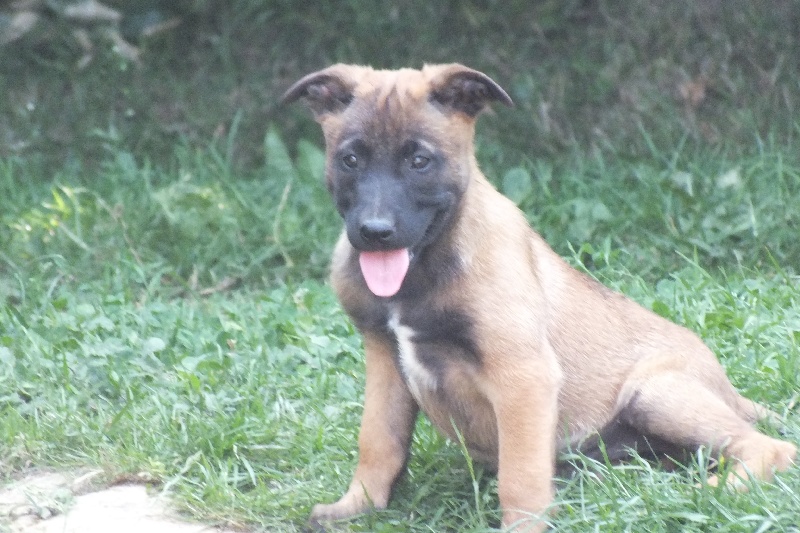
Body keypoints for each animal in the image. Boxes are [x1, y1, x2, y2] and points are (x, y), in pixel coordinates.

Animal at [284, 64, 796, 528]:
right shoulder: (384, 361)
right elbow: (378, 442)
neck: (425, 268)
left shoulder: (522, 377)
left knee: (769, 447)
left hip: (655, 392)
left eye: (419, 161)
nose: (374, 233)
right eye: (350, 160)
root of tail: (729, 390)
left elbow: (521, 478)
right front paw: (359, 505)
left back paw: (711, 492)